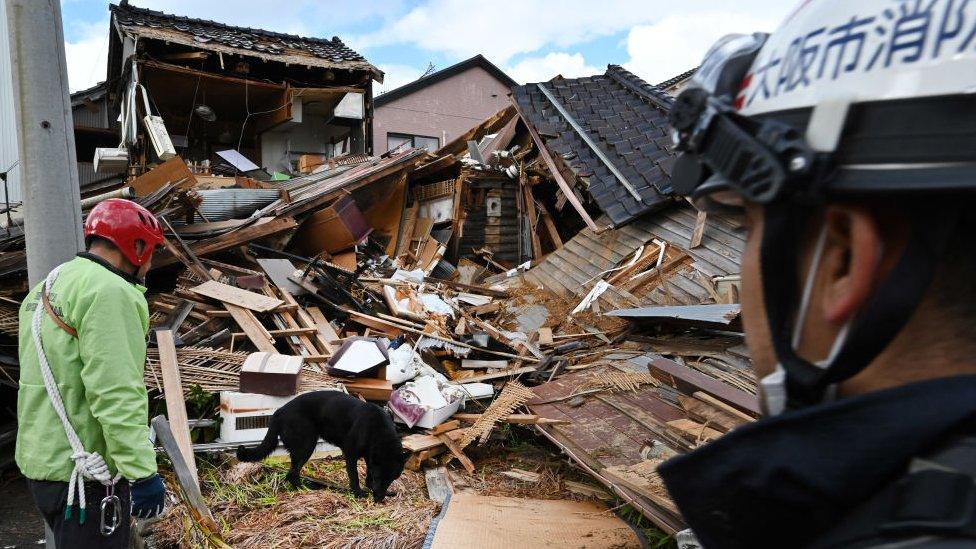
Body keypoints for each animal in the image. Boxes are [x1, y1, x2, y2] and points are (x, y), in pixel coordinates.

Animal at [238, 390, 406, 500]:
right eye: (380, 477)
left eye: (392, 478)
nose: (379, 499)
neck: (378, 430)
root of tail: (279, 412)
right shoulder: (350, 454)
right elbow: (355, 476)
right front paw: (358, 493)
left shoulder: (369, 457)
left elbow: (368, 474)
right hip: (306, 446)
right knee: (292, 474)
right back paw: (305, 490)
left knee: (292, 473)